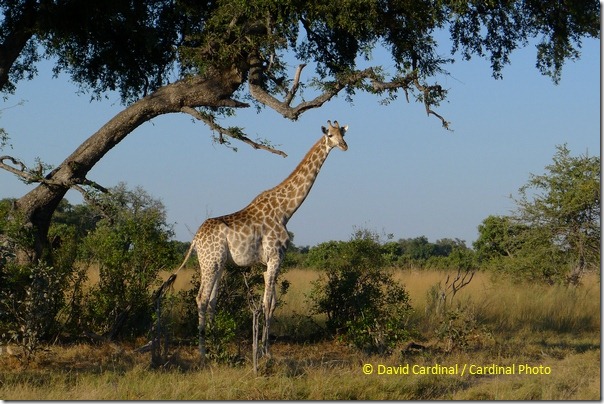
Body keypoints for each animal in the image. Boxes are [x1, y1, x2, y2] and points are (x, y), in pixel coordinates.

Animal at [170, 118, 350, 358]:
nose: (344, 146)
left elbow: (272, 303)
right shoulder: (275, 256)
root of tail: (195, 239)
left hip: (217, 264)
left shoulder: (269, 263)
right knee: (201, 298)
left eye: (343, 134)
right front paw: (266, 353)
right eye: (329, 135)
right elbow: (266, 303)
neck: (286, 210)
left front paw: (266, 350)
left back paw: (215, 344)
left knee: (212, 300)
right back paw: (202, 352)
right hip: (210, 262)